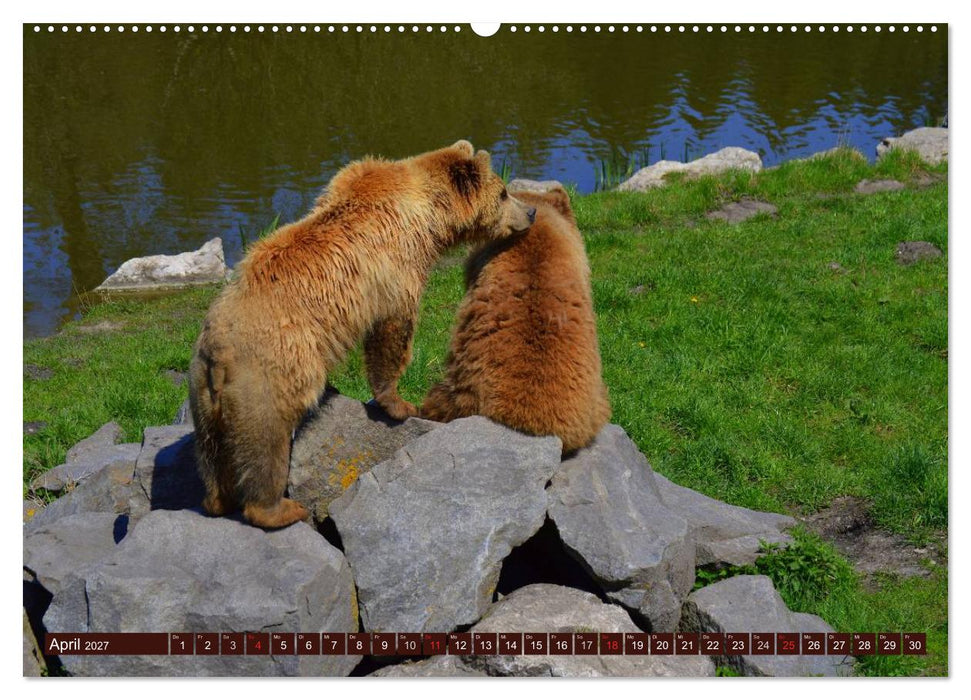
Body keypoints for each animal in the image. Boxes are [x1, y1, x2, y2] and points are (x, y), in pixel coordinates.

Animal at [188, 140, 536, 529]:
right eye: (504, 192)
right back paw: (280, 509)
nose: (532, 211)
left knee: (211, 451)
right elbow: (393, 331)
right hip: (269, 375)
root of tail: (218, 350)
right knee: (266, 442)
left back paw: (218, 500)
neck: (428, 216)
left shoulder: (350, 178)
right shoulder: (397, 264)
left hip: (203, 391)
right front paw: (401, 404)